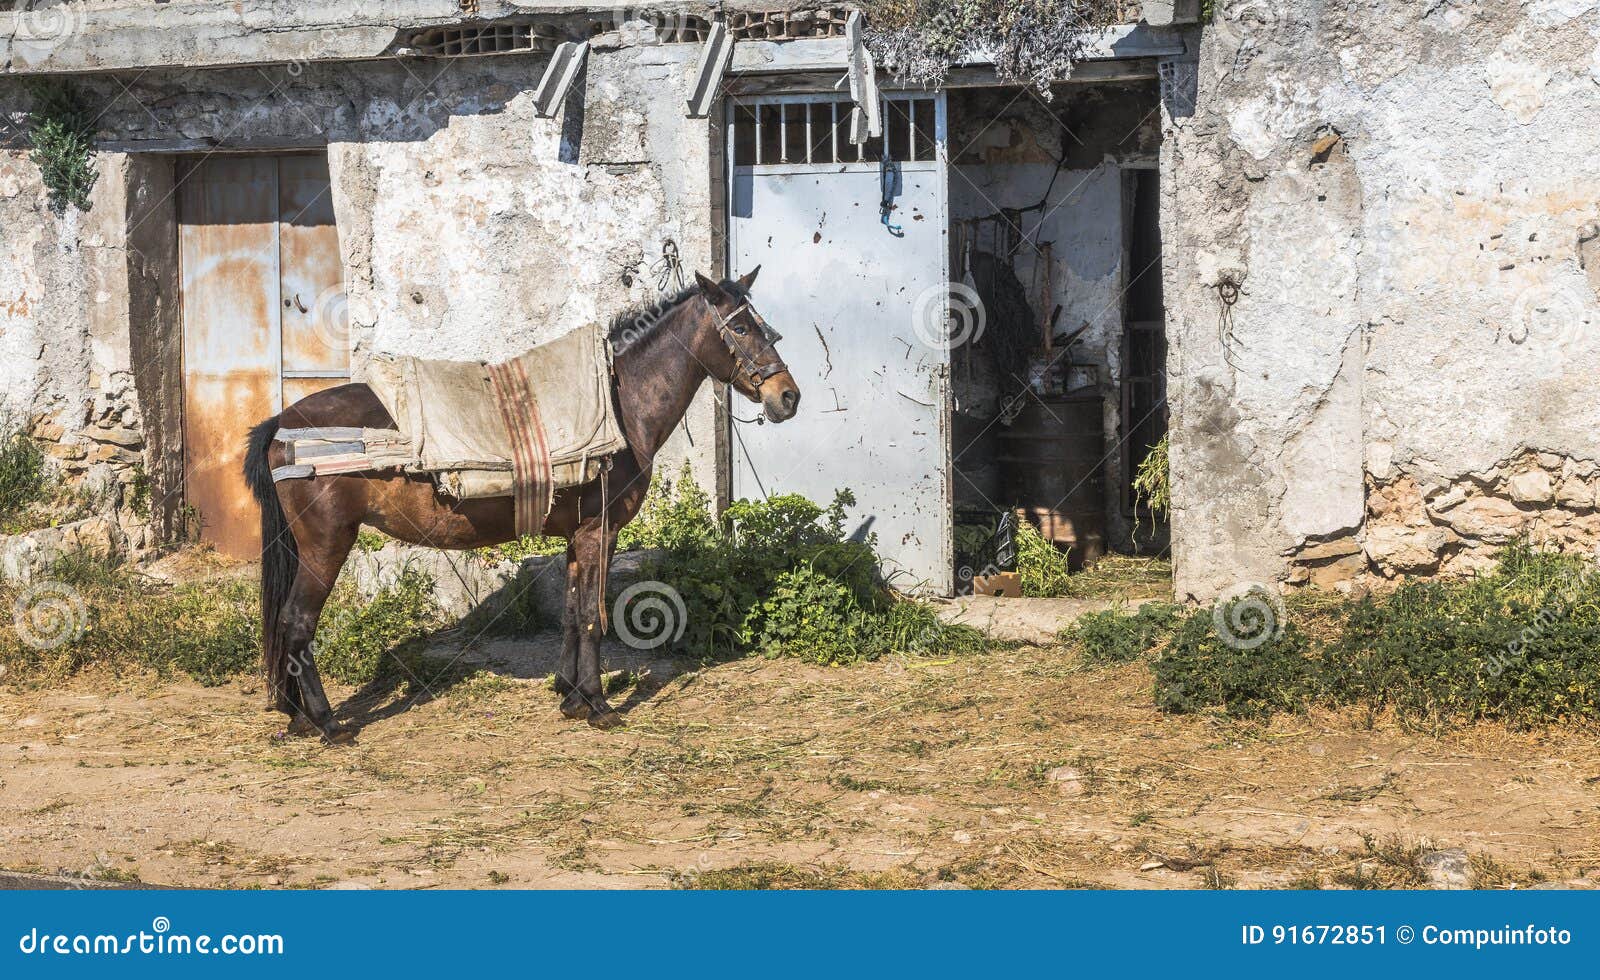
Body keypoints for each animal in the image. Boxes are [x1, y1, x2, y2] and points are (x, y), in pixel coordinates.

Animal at [240, 272, 796, 739]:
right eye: (741, 327)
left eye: (766, 326)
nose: (788, 397)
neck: (620, 408)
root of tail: (282, 424)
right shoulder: (600, 532)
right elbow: (593, 615)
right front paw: (599, 704)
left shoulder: (576, 538)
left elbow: (571, 612)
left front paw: (572, 696)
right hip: (327, 544)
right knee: (297, 623)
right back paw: (326, 722)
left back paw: (297, 716)